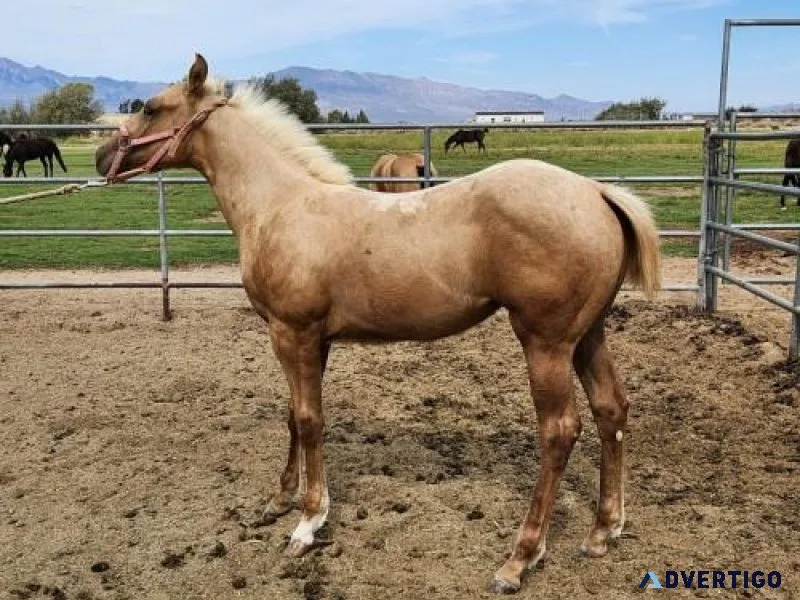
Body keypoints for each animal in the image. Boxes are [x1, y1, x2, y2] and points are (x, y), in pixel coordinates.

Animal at [95, 54, 660, 595]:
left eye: (150, 107)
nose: (103, 157)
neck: (281, 206)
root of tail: (596, 192)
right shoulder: (306, 339)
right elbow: (294, 415)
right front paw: (280, 500)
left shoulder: (293, 333)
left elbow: (309, 420)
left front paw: (308, 523)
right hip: (586, 335)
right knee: (611, 409)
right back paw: (603, 530)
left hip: (545, 341)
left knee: (559, 431)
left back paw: (520, 559)